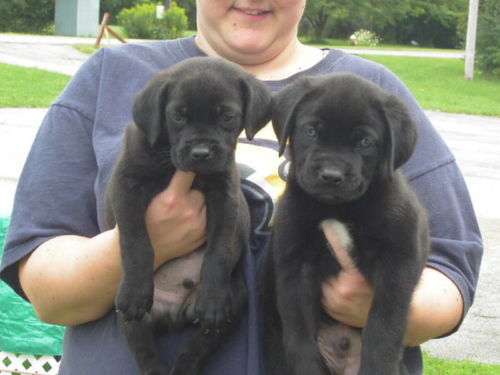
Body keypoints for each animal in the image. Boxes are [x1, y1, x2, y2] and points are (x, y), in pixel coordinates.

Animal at [103, 56, 272, 375]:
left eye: (227, 117)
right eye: (178, 117)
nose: (201, 153)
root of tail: (175, 313)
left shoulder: (226, 197)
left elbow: (219, 250)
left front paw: (212, 297)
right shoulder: (126, 185)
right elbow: (136, 242)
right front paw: (136, 290)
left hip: (232, 306)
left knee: (194, 351)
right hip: (130, 319)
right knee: (145, 352)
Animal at [262, 73, 430, 375]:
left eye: (364, 141)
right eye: (311, 132)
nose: (331, 176)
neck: (339, 208)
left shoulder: (400, 259)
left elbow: (383, 324)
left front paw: (378, 367)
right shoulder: (295, 265)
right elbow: (298, 333)